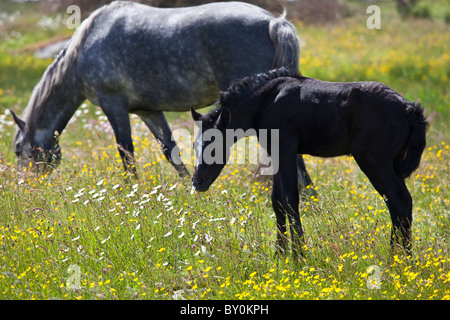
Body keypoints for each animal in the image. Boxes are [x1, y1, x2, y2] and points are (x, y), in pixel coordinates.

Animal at [12, 0, 312, 185]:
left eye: (17, 150)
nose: (25, 186)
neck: (82, 50)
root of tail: (275, 23)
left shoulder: (113, 105)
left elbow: (126, 151)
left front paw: (132, 190)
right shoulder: (148, 111)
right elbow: (171, 151)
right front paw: (187, 187)